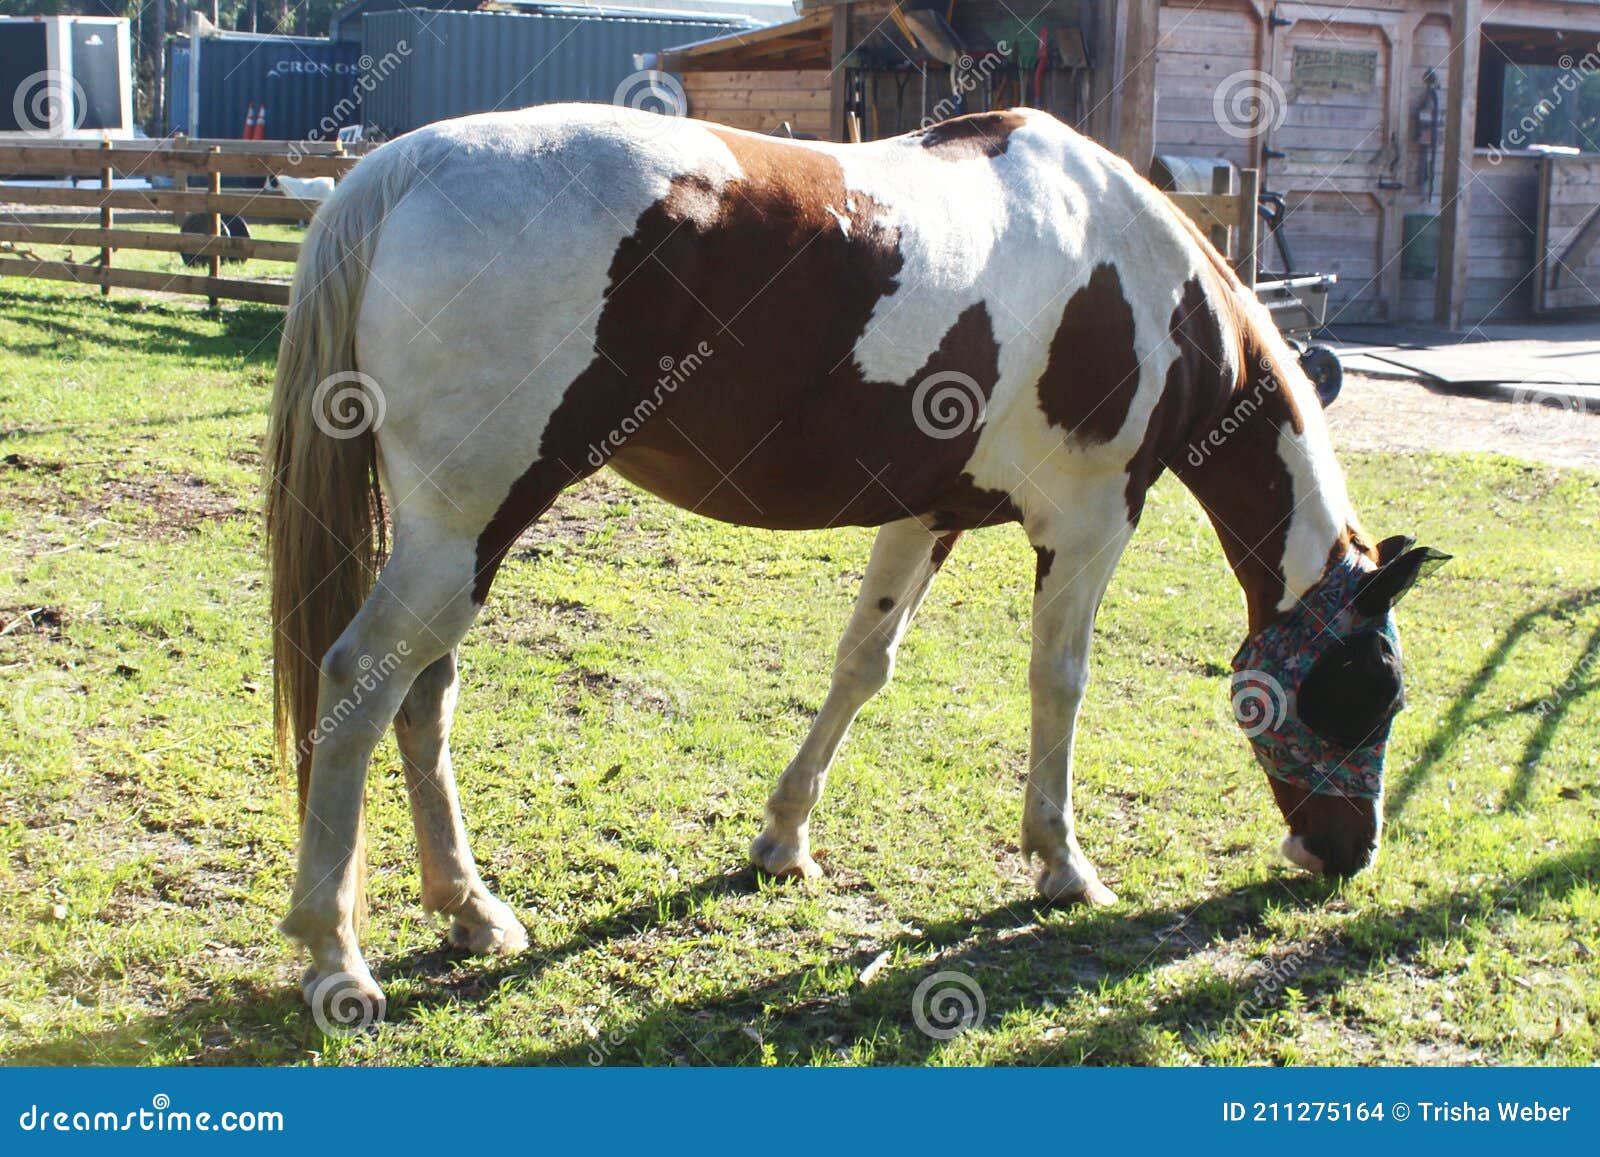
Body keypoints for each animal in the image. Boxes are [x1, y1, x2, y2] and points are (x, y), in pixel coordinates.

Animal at [265, 104, 1446, 1021]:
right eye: (1370, 687)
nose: (1350, 852)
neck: (1146, 290)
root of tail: (404, 166)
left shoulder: (926, 513)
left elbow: (862, 665)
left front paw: (782, 841)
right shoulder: (1088, 524)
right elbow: (1058, 683)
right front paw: (1062, 863)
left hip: (462, 534)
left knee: (423, 699)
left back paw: (471, 911)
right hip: (466, 525)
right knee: (361, 683)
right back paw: (337, 959)